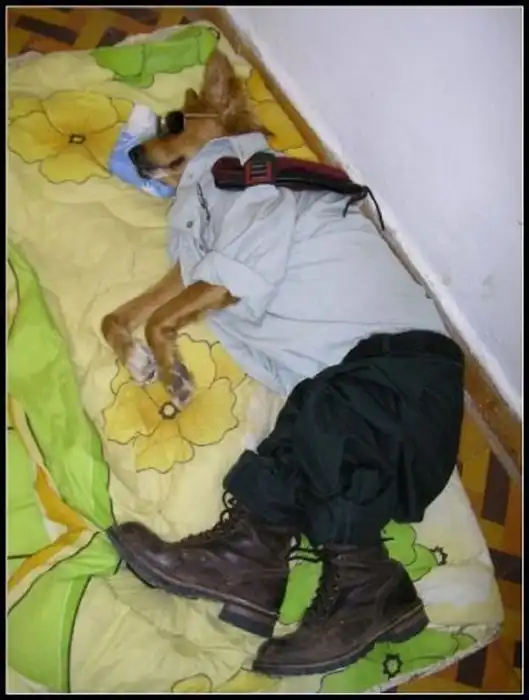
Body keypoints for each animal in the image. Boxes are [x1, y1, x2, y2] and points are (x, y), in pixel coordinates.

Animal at [101, 49, 446, 407]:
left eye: (173, 124)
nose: (132, 152)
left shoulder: (235, 270)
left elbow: (156, 317)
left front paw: (172, 373)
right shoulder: (199, 261)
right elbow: (115, 316)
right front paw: (136, 358)